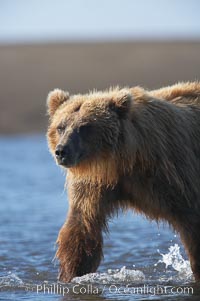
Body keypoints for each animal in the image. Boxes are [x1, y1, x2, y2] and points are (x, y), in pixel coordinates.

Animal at [46, 81, 200, 282]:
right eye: (61, 127)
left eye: (84, 127)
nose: (61, 151)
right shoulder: (95, 185)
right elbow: (82, 226)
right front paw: (72, 275)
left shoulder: (172, 174)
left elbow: (192, 221)